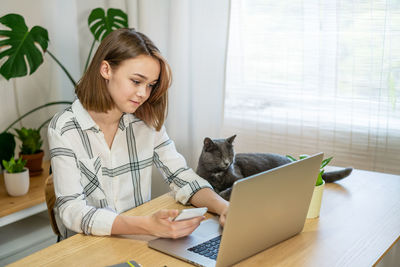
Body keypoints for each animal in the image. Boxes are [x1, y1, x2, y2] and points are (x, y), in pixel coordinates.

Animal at [197, 136, 354, 201]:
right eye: (219, 155)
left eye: (230, 154)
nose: (227, 162)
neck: (217, 173)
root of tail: (292, 161)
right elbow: (213, 188)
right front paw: (218, 191)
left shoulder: (239, 178)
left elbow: (229, 188)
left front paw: (223, 193)